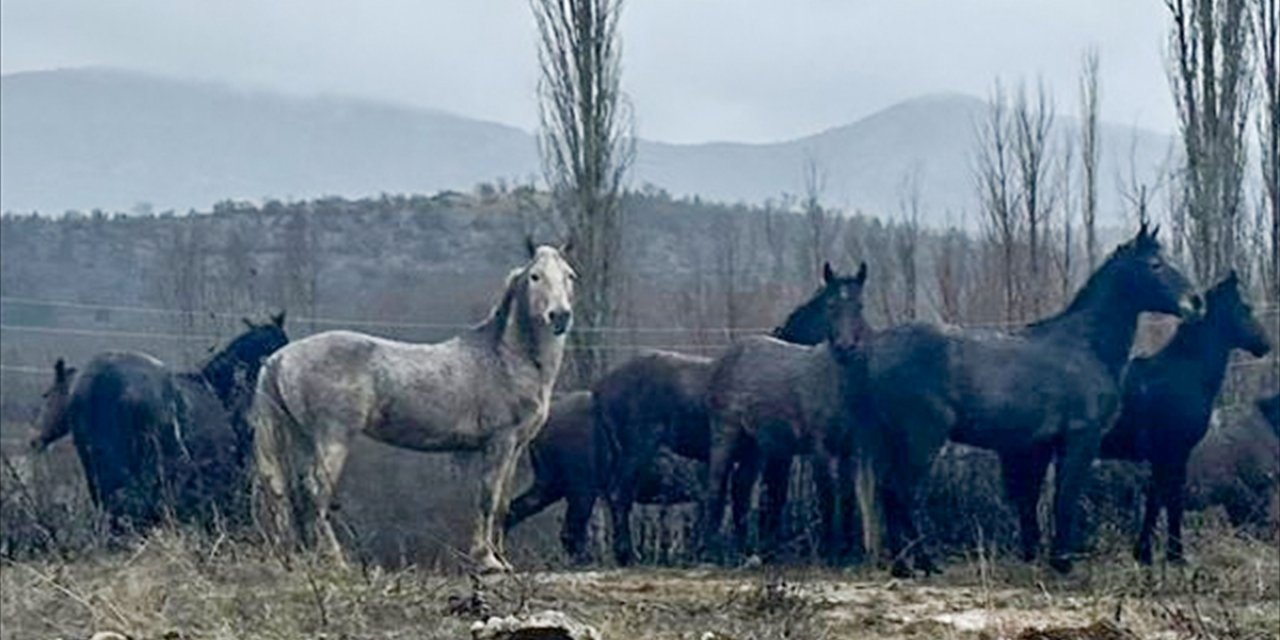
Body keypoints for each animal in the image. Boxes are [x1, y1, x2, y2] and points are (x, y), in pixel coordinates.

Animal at [249, 241, 576, 573]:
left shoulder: (515, 447)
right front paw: (486, 560)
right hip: (333, 438)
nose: (560, 316)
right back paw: (336, 561)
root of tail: (280, 357)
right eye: (535, 276)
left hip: (302, 437)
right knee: (316, 491)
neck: (505, 358)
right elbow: (487, 499)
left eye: (569, 275)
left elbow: (502, 503)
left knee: (294, 491)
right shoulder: (499, 442)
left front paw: (501, 559)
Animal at [701, 259, 870, 560]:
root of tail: (726, 357)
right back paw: (713, 550)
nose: (845, 347)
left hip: (755, 445)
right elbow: (826, 496)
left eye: (859, 305)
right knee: (717, 487)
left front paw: (849, 552)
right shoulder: (818, 449)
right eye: (830, 306)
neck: (831, 381)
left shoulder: (850, 450)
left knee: (741, 487)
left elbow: (848, 497)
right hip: (726, 435)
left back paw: (746, 550)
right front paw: (828, 550)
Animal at [860, 224, 1198, 576]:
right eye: (1155, 265)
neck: (1086, 347)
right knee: (902, 494)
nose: (1196, 303)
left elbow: (1035, 501)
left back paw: (904, 565)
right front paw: (1062, 561)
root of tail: (876, 349)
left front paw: (1042, 556)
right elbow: (1066, 497)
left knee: (889, 495)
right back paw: (921, 563)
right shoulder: (1080, 439)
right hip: (922, 440)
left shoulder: (1041, 446)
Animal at [1100, 272, 1269, 563]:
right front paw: (1175, 555)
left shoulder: (1161, 456)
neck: (1181, 373)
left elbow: (1155, 500)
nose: (1265, 345)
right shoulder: (1174, 452)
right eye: (1245, 308)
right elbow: (1172, 500)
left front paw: (1145, 554)